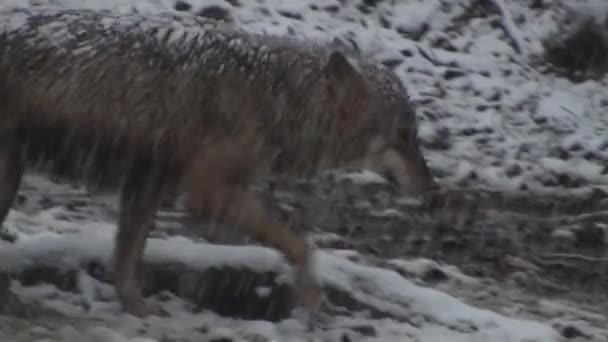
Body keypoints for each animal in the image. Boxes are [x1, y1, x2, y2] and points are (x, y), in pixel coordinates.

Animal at [0, 8, 436, 318]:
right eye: (404, 135)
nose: (432, 188)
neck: (278, 97)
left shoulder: (149, 183)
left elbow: (127, 256)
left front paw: (135, 306)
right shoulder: (208, 190)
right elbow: (299, 245)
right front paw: (311, 297)